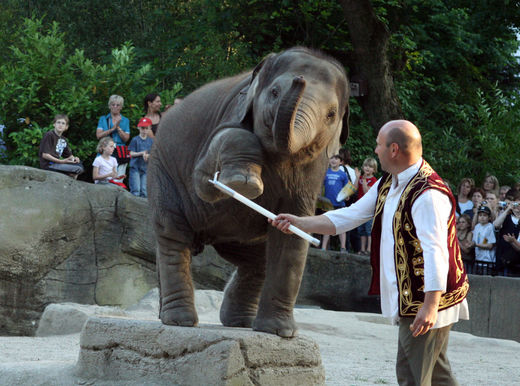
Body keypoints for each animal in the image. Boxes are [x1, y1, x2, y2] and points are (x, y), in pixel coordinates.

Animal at [146, 47, 350, 338]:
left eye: (331, 114)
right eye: (274, 92)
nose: (299, 80)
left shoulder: (313, 170)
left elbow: (293, 236)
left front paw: (279, 332)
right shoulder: (231, 113)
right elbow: (206, 176)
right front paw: (244, 185)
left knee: (254, 260)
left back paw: (238, 321)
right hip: (161, 170)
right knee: (172, 234)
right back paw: (179, 321)